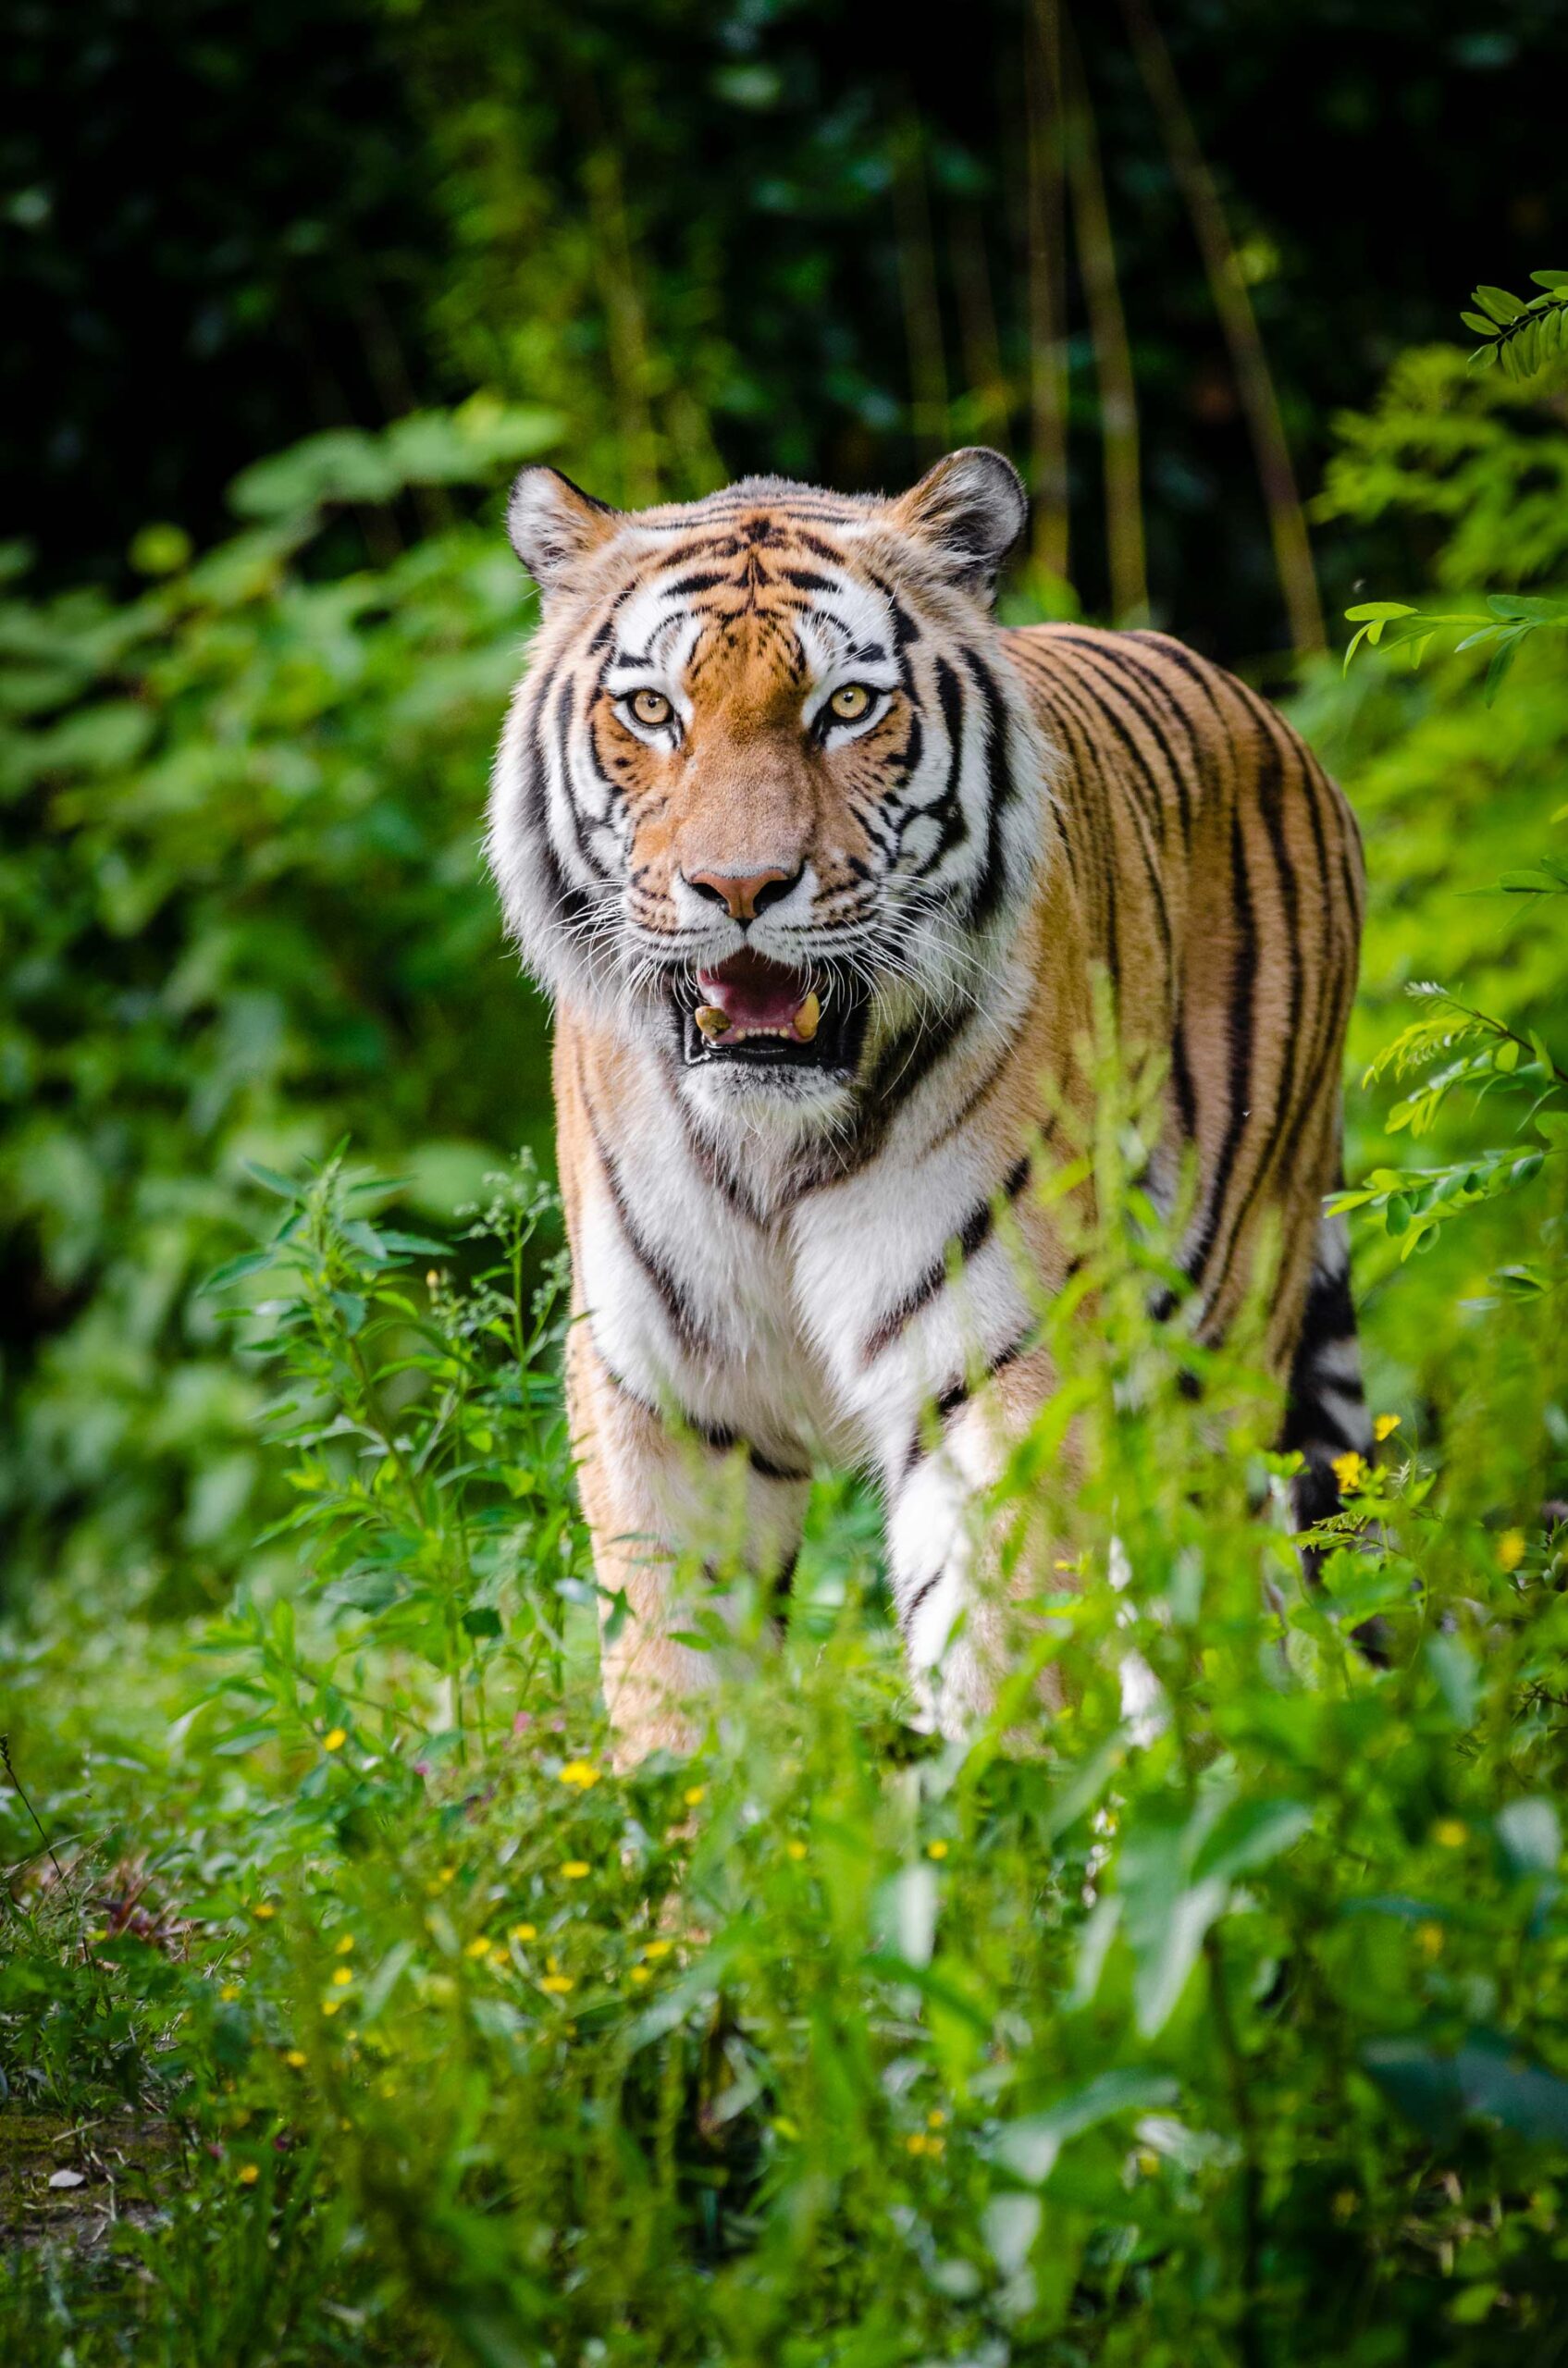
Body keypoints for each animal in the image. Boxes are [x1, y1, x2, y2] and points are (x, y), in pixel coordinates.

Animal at [488, 446, 1368, 1760]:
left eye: (848, 706)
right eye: (651, 712)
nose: (738, 887)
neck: (774, 1145)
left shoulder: (995, 1366)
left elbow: (1001, 1654)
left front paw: (996, 1811)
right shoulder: (665, 1390)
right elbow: (672, 1684)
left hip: (1212, 1347)